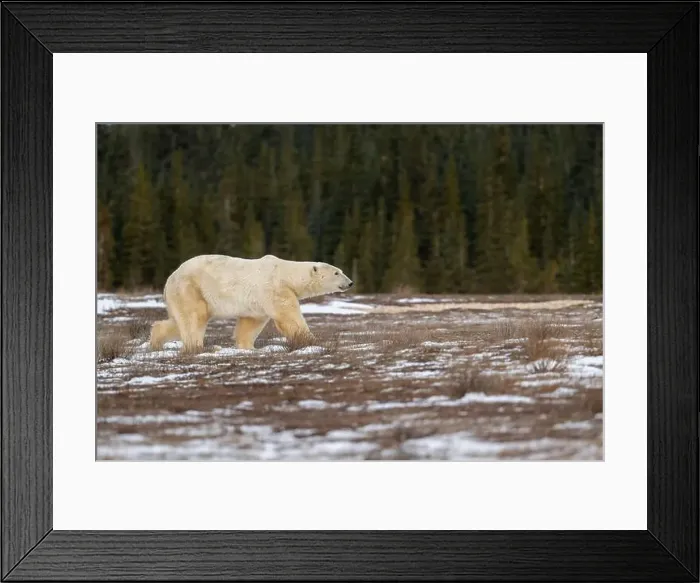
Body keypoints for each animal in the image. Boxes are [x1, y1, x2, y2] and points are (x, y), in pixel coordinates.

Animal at [149, 254, 353, 353]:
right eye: (337, 272)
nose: (350, 283)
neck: (285, 273)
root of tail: (169, 280)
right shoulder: (275, 288)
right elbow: (288, 315)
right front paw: (310, 341)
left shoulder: (257, 303)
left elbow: (250, 323)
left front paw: (248, 347)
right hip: (190, 288)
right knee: (194, 316)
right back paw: (196, 347)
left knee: (176, 321)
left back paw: (156, 342)